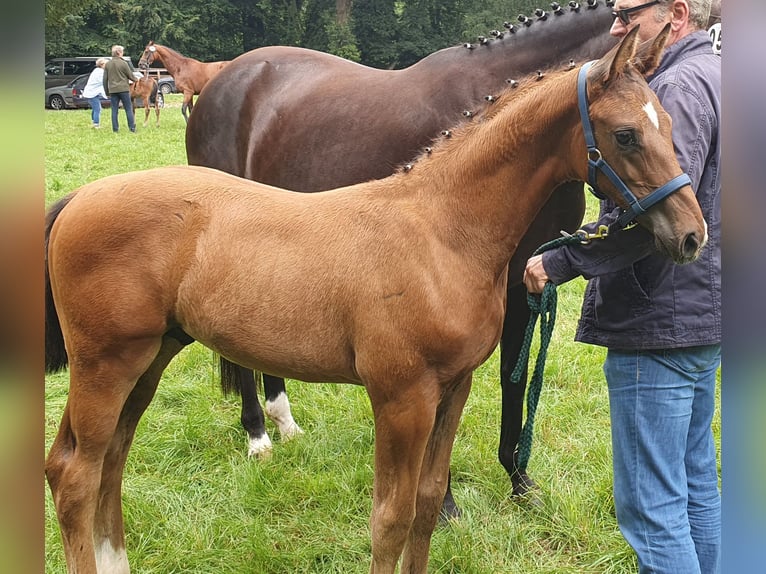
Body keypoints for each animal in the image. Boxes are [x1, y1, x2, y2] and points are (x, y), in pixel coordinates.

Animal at [46, 28, 708, 574]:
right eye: (625, 135)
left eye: (671, 127)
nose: (691, 235)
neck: (441, 228)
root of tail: (78, 198)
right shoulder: (401, 397)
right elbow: (390, 518)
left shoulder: (454, 387)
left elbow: (427, 503)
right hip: (106, 365)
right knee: (76, 474)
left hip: (146, 361)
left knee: (103, 464)